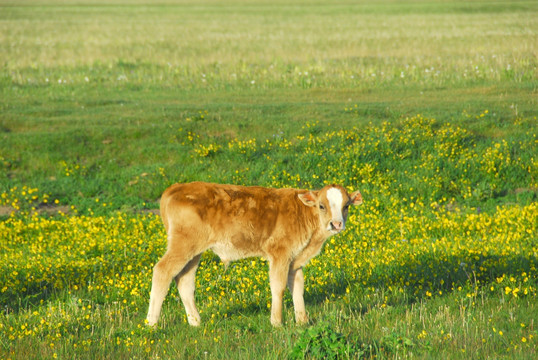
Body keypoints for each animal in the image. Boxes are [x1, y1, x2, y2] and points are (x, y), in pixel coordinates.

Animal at [146, 183, 360, 326]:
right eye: (322, 206)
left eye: (346, 206)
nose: (336, 224)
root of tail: (176, 188)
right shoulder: (280, 255)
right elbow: (278, 287)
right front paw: (277, 322)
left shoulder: (296, 260)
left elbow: (298, 288)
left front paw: (302, 321)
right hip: (182, 246)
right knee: (162, 271)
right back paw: (151, 324)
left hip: (194, 253)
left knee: (185, 281)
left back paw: (196, 322)